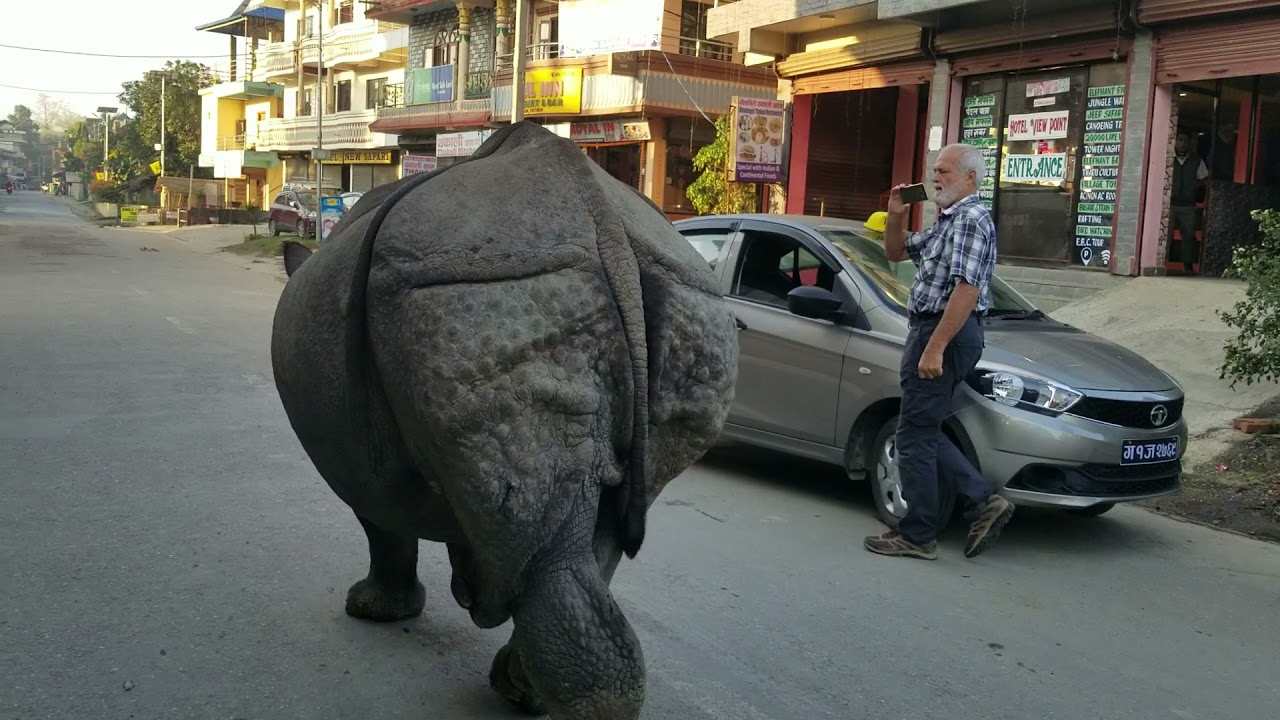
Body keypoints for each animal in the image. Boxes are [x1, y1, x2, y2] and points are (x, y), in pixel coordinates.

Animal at [270, 121, 739, 719]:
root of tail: (603, 225)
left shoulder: (365, 466)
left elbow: (382, 524)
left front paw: (372, 610)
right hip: (679, 306)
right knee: (607, 519)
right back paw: (524, 690)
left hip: (482, 292)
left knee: (549, 549)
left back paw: (531, 691)